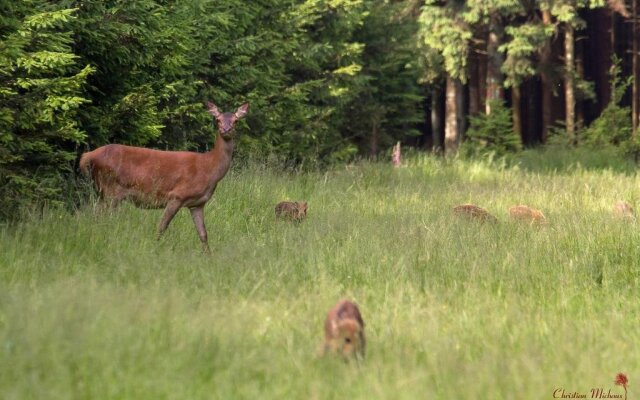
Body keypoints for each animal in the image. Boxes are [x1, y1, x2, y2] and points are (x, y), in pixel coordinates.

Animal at [79, 100, 249, 252]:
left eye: (236, 120)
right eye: (218, 119)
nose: (226, 129)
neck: (209, 169)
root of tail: (88, 156)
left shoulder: (197, 204)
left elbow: (203, 234)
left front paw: (208, 256)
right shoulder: (177, 196)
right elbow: (161, 226)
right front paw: (154, 248)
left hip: (104, 192)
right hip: (110, 190)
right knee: (98, 216)